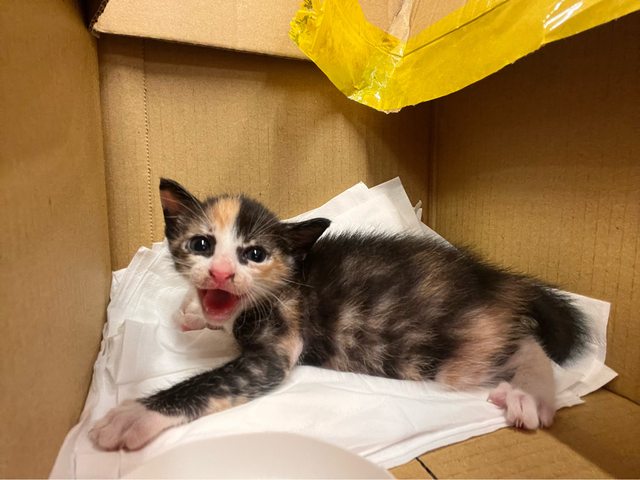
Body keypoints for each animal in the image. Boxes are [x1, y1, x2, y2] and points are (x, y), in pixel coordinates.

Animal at [89, 178, 587, 451]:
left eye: (255, 254)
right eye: (202, 244)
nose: (222, 272)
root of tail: (495, 279)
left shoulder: (276, 348)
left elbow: (212, 382)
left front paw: (133, 415)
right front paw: (192, 310)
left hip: (445, 354)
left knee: (526, 343)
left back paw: (529, 396)